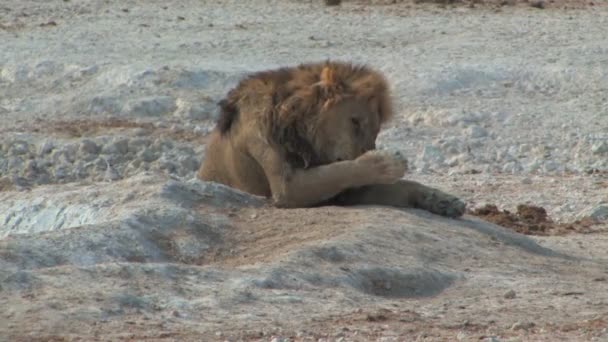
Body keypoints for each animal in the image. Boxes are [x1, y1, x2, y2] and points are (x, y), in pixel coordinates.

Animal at [200, 60, 466, 218]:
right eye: (355, 121)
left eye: (376, 131)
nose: (368, 149)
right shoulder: (287, 187)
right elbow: (341, 170)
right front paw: (389, 162)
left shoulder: (346, 193)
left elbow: (397, 186)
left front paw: (442, 199)